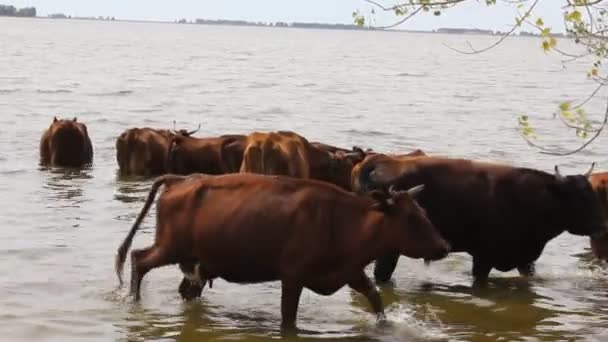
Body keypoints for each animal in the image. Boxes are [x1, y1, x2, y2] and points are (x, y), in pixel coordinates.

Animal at [114, 174, 448, 328]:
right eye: (411, 218)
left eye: (422, 212)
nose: (444, 247)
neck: (342, 221)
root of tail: (182, 178)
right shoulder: (293, 276)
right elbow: (288, 319)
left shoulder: (351, 272)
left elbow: (377, 300)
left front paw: (386, 324)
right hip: (169, 246)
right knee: (138, 259)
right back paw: (133, 300)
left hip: (194, 259)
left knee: (184, 288)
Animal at [352, 154, 608, 284]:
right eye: (580, 198)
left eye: (593, 195)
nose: (601, 227)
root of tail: (384, 160)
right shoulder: (484, 256)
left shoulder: (525, 259)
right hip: (389, 249)